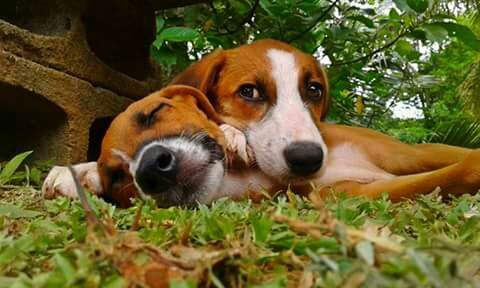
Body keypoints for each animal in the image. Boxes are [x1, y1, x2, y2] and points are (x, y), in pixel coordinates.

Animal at [43, 39, 478, 206]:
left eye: (314, 90)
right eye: (119, 179)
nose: (307, 159)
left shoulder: (412, 156)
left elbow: (464, 160)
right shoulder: (352, 194)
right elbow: (457, 172)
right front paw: (77, 174)